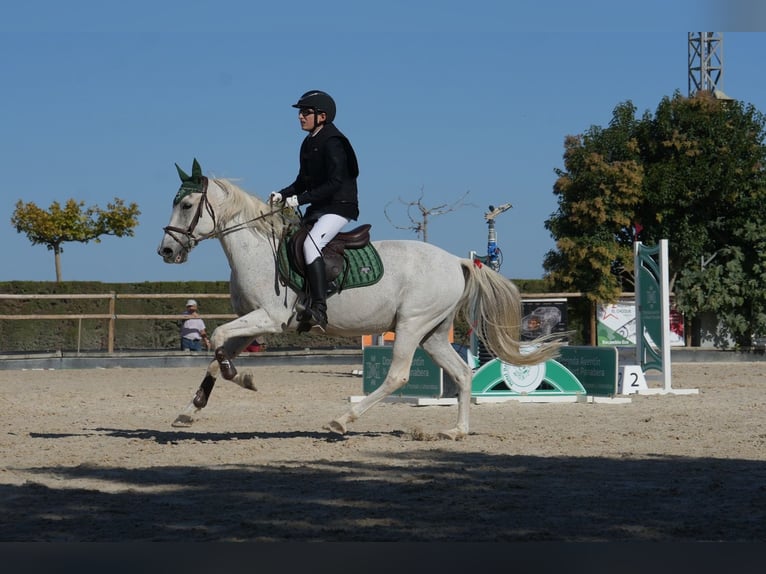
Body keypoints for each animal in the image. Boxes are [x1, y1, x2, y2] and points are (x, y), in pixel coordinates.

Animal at [157, 160, 563, 439]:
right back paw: (456, 431)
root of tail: (456, 261)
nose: (166, 250)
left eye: (188, 205)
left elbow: (218, 339)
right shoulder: (255, 323)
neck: (257, 249)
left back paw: (342, 421)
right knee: (462, 373)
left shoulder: (269, 318)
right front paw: (190, 410)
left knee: (398, 376)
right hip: (433, 332)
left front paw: (243, 378)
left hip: (411, 325)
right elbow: (218, 351)